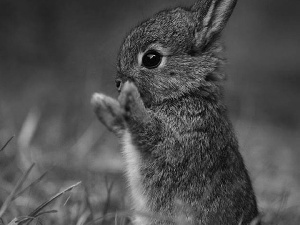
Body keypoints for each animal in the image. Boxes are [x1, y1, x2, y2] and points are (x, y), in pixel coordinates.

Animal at [90, 0, 258, 224]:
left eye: (151, 58)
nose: (118, 83)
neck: (184, 94)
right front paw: (102, 104)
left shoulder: (176, 137)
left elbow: (146, 128)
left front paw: (130, 96)